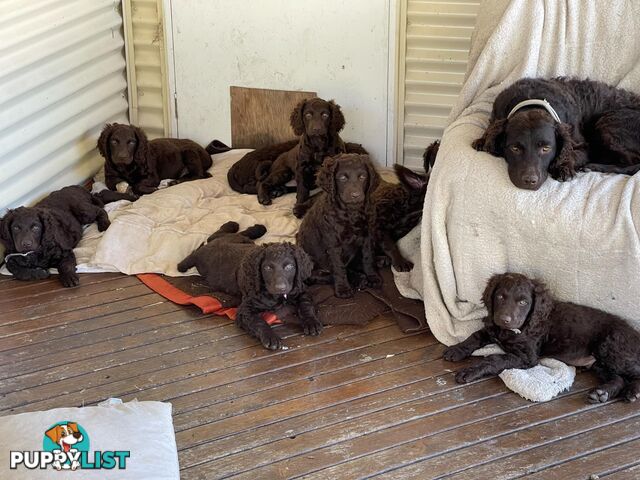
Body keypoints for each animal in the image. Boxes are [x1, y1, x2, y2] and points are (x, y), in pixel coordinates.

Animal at [178, 221, 322, 348]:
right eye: (267, 268)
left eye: (290, 267)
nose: (280, 288)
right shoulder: (245, 310)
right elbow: (259, 322)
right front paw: (270, 337)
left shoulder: (299, 290)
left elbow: (306, 304)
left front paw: (311, 322)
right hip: (206, 254)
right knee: (210, 239)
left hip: (242, 241)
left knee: (232, 234)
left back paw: (253, 228)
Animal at [298, 154, 382, 298]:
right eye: (342, 178)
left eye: (362, 177)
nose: (355, 195)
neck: (352, 212)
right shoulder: (333, 244)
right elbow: (338, 267)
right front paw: (343, 289)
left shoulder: (368, 236)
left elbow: (368, 257)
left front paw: (373, 276)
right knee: (319, 276)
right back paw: (357, 278)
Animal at [442, 272, 640, 404]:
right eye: (499, 296)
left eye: (523, 302)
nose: (505, 319)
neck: (515, 329)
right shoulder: (492, 328)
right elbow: (475, 336)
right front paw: (456, 349)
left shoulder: (527, 357)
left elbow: (494, 359)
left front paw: (469, 371)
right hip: (600, 363)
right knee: (618, 378)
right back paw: (601, 393)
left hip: (611, 350)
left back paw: (632, 392)